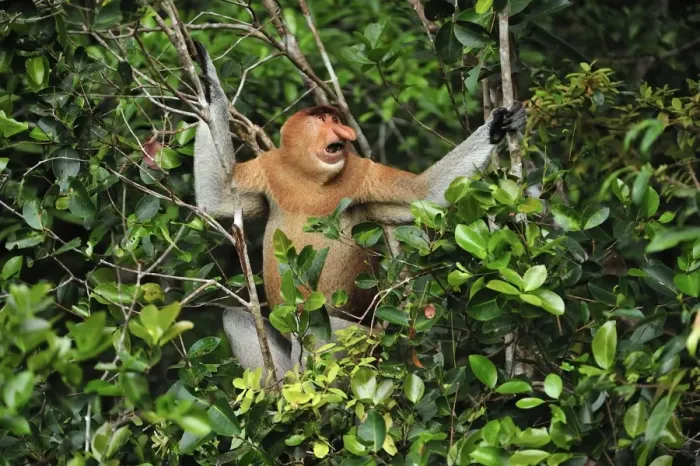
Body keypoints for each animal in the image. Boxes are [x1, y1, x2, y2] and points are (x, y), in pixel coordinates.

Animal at [192, 43, 527, 381]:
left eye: (335, 118)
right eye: (324, 118)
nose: (345, 131)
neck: (310, 177)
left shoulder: (362, 173)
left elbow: (425, 194)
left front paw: (497, 126)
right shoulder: (269, 168)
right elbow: (217, 199)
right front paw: (207, 84)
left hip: (363, 340)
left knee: (318, 322)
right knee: (236, 317)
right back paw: (281, 387)